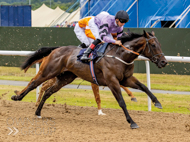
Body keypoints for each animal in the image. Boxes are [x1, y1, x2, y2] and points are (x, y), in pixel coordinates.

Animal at [11, 30, 167, 129]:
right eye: (153, 45)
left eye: (160, 44)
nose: (164, 62)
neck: (120, 55)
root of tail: (56, 49)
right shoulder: (112, 81)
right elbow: (122, 102)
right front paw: (132, 122)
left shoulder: (126, 79)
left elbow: (144, 87)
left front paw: (157, 103)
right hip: (48, 72)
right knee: (33, 83)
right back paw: (17, 97)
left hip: (65, 78)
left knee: (48, 91)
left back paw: (38, 112)